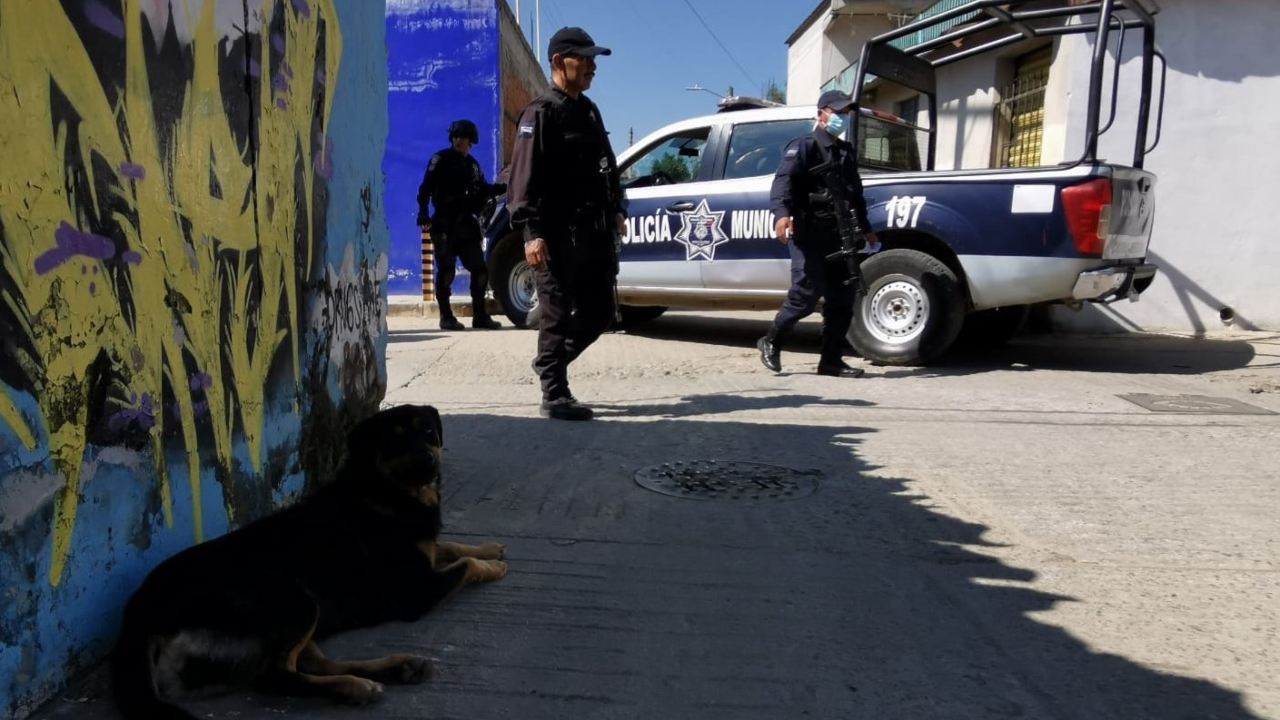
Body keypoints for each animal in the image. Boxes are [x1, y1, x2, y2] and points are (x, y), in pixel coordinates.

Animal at [112, 404, 504, 717]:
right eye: (394, 441)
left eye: (426, 431)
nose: (427, 460)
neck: (382, 490)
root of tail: (139, 612)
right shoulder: (416, 593)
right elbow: (462, 565)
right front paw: (491, 566)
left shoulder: (426, 551)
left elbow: (449, 546)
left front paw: (489, 549)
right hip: (293, 599)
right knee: (275, 677)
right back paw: (355, 686)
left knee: (313, 663)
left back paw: (398, 669)